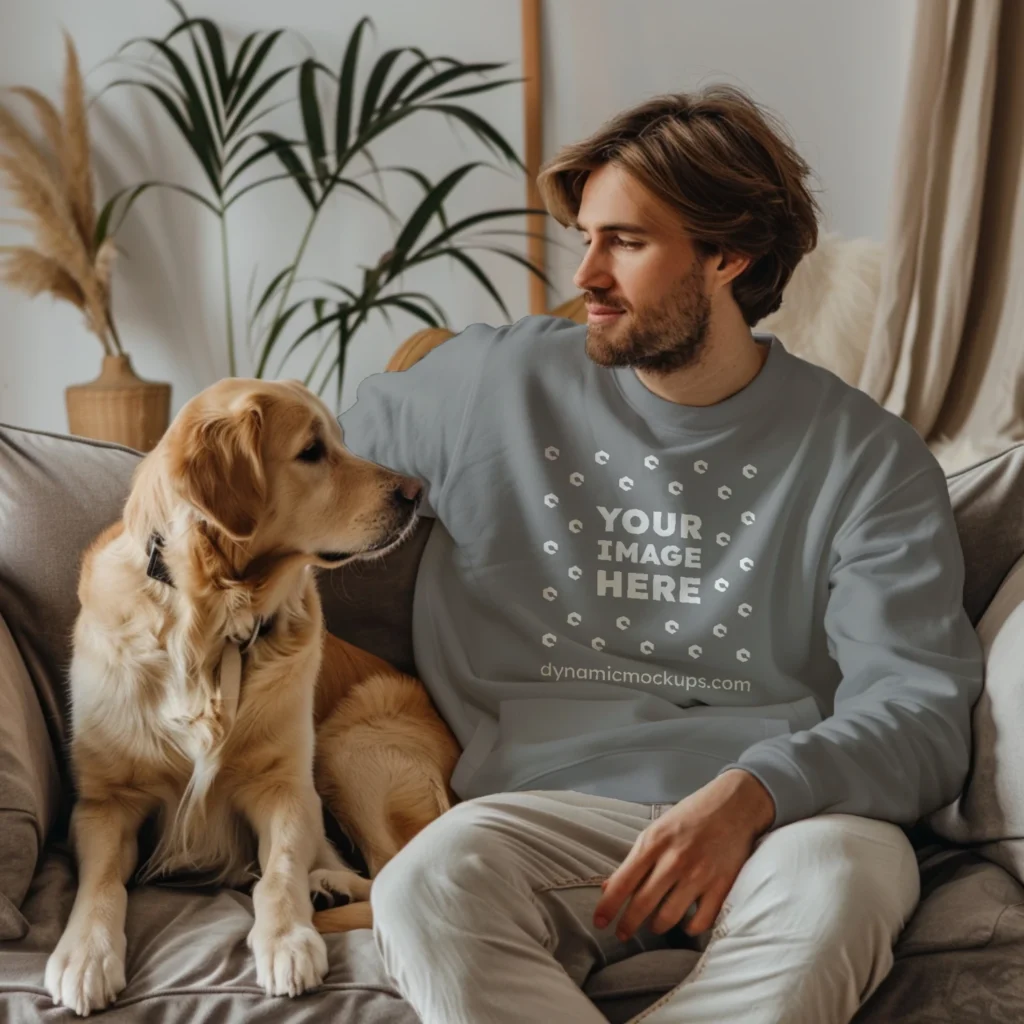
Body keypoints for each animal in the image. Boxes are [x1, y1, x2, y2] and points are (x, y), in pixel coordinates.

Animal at [45, 378, 456, 1015]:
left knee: (390, 873)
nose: (417, 493)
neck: (211, 623)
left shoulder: (286, 787)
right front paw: (85, 954)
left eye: (341, 441)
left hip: (348, 747)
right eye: (312, 451)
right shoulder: (104, 803)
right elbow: (103, 882)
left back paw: (328, 889)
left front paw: (287, 940)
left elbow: (279, 871)